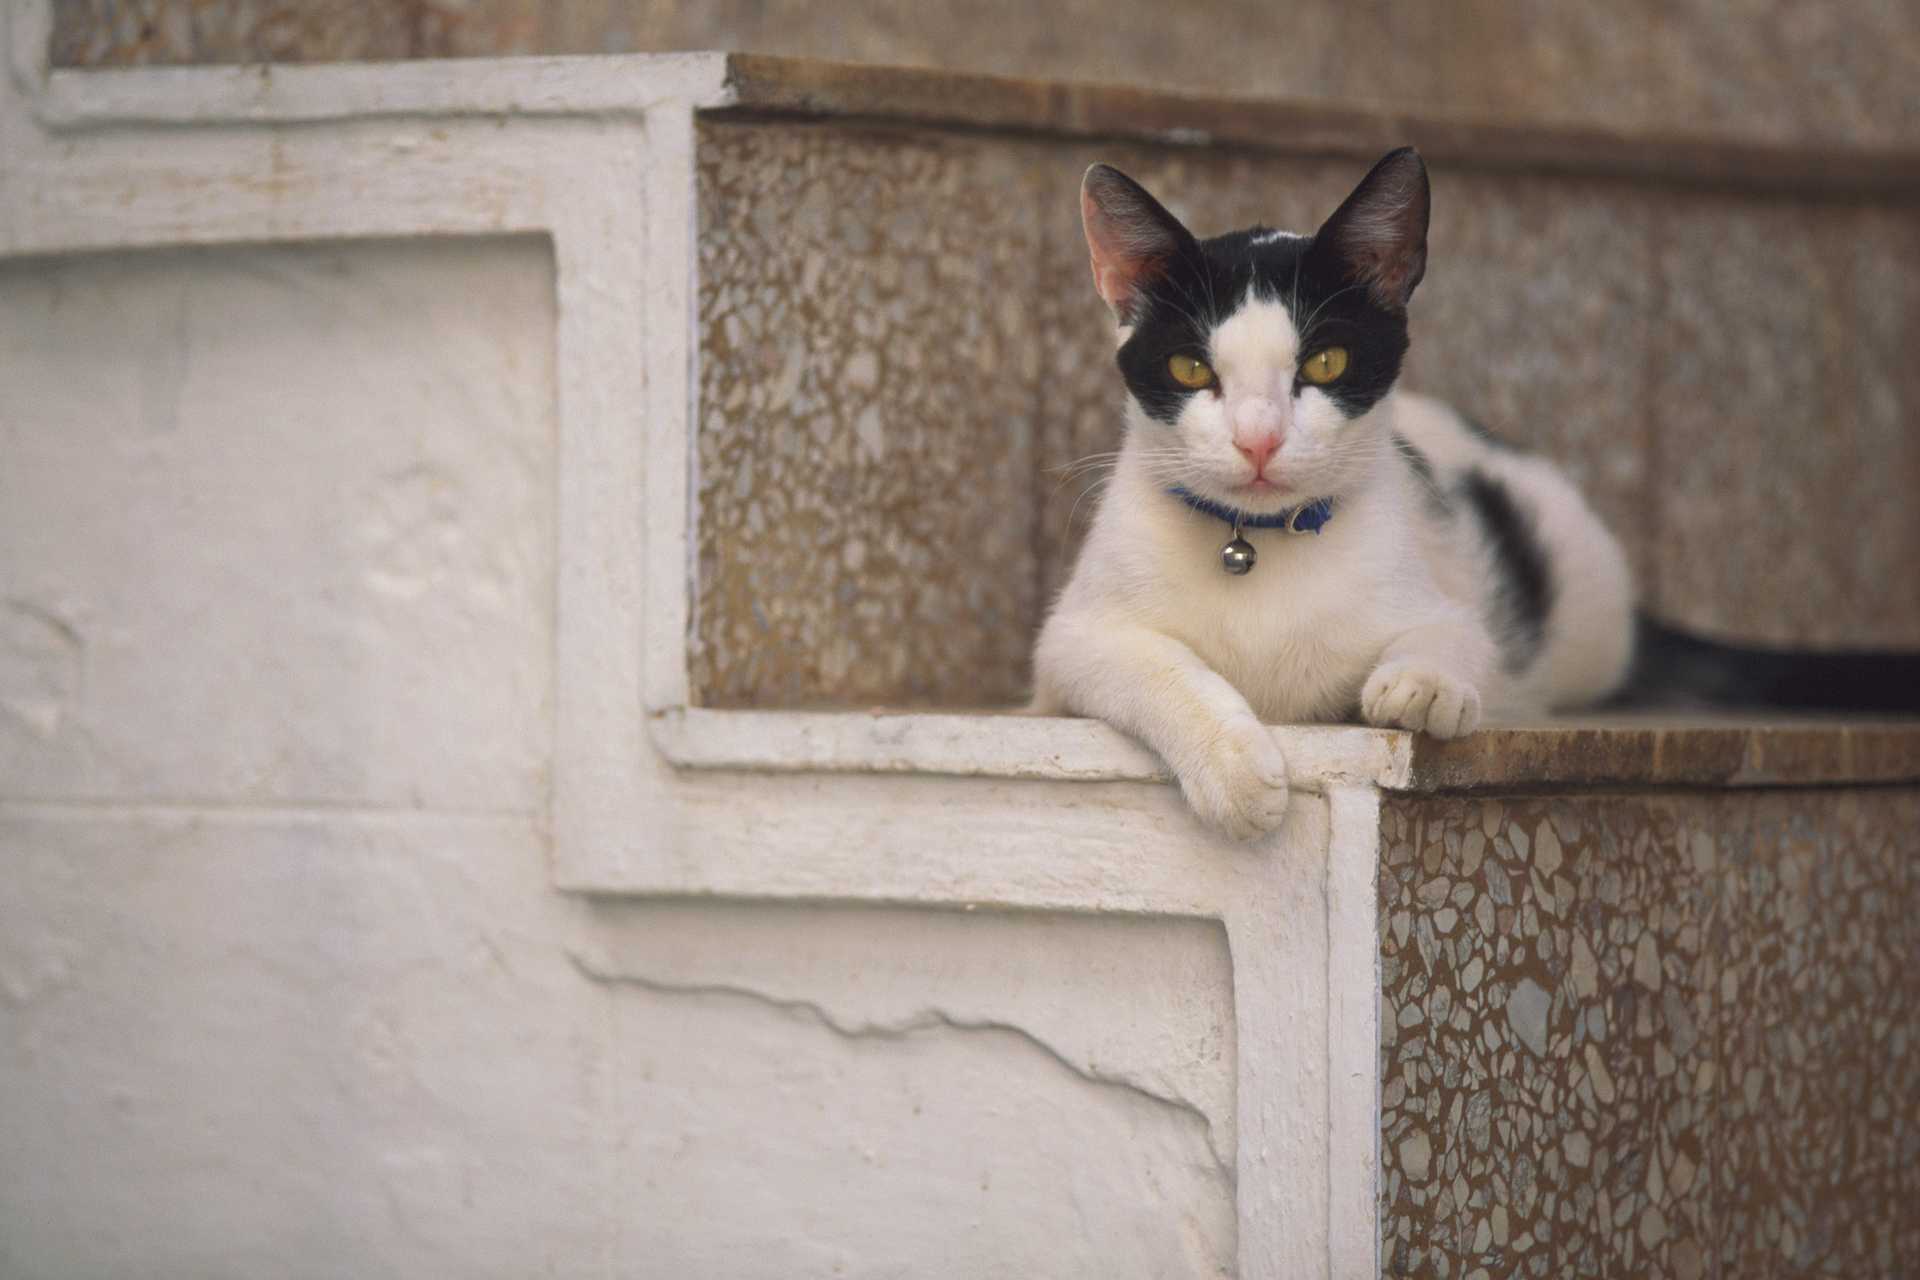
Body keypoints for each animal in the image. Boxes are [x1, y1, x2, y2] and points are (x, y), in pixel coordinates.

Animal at [1036, 147, 1920, 840]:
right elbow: (1151, 664)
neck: (1255, 547)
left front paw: (1422, 683)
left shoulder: (1449, 604)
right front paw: (1233, 768)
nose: (1259, 440)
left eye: (1325, 362)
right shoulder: (1068, 645)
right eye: (1191, 368)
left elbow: (1455, 637)